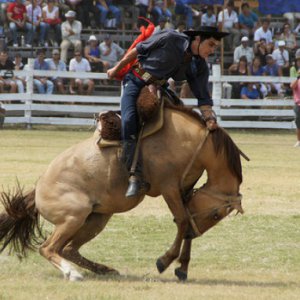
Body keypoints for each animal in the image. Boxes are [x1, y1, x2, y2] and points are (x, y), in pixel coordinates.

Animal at [0, 105, 244, 282]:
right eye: (215, 214)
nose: (196, 233)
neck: (191, 141)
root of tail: (38, 189)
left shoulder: (184, 190)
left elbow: (184, 222)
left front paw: (182, 267)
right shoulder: (170, 189)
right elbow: (183, 220)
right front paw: (165, 261)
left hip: (96, 219)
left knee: (68, 249)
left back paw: (104, 270)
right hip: (74, 216)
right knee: (48, 248)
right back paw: (73, 274)